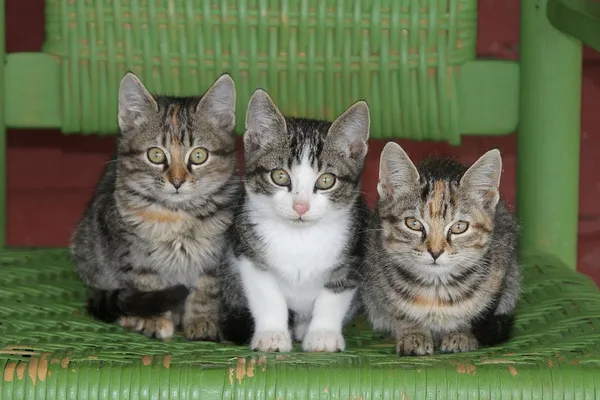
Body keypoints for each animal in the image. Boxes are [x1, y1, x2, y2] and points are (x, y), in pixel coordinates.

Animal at [69, 72, 239, 340]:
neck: (177, 216)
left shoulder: (215, 256)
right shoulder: (132, 254)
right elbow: (147, 284)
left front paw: (202, 321)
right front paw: (155, 320)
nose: (177, 181)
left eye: (199, 155)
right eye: (156, 155)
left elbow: (205, 290)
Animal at [220, 89, 370, 352]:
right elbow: (268, 297)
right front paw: (272, 334)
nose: (301, 206)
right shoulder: (248, 254)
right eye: (280, 176)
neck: (300, 238)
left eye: (326, 180)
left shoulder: (352, 255)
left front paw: (323, 334)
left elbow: (333, 296)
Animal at [360, 142, 520, 354]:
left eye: (459, 227)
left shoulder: (500, 271)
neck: (436, 288)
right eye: (413, 223)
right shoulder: (377, 279)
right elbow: (398, 311)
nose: (435, 252)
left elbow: (476, 311)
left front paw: (461, 333)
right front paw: (413, 334)